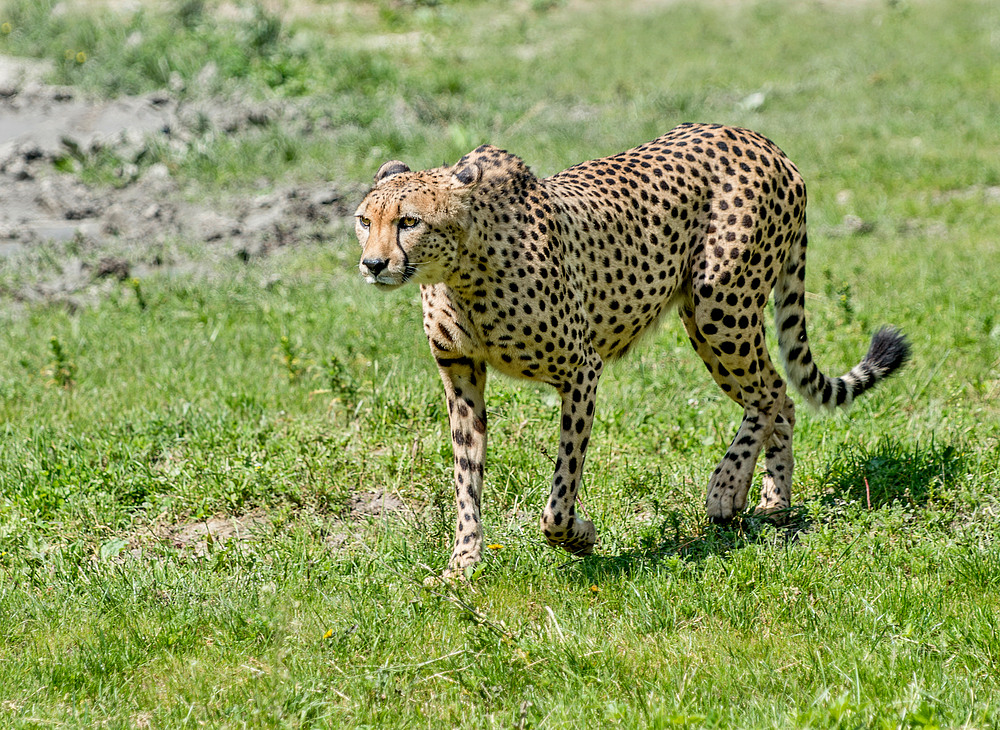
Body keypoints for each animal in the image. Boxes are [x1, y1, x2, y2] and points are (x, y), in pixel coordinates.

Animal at [352, 122, 908, 576]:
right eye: (364, 220)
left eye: (409, 222)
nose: (373, 265)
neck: (461, 269)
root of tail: (759, 139)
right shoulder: (461, 373)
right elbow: (466, 478)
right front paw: (463, 564)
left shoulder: (582, 368)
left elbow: (558, 496)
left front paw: (579, 536)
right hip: (707, 320)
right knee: (781, 399)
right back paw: (773, 500)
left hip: (719, 305)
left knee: (771, 392)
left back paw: (731, 490)